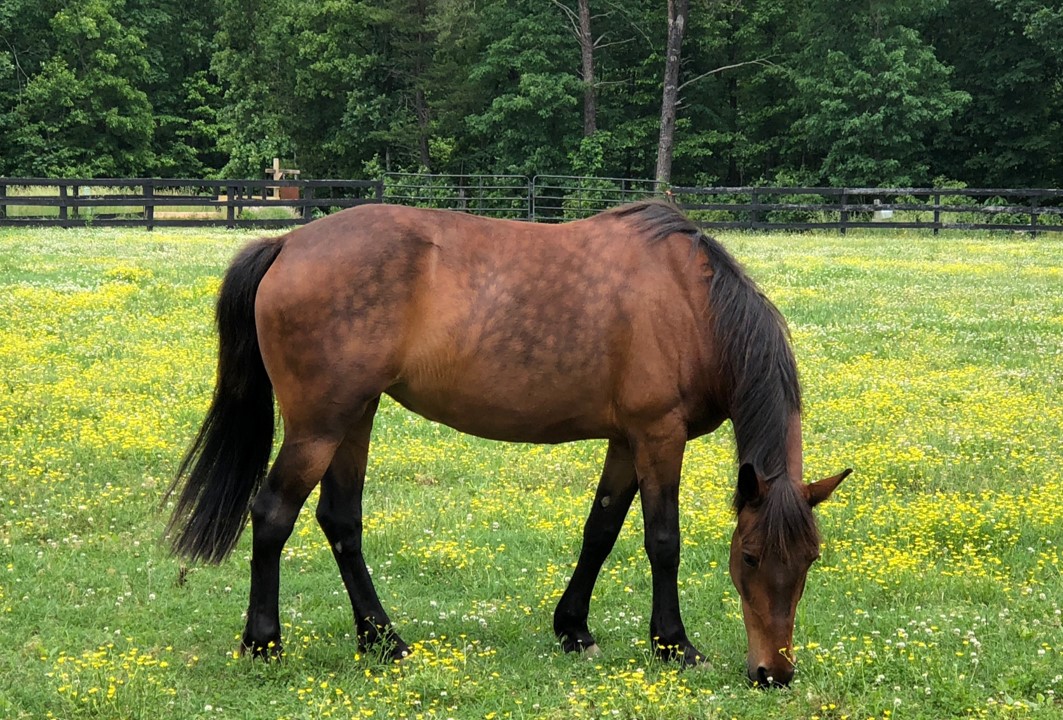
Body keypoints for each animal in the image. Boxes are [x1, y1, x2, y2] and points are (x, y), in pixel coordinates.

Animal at [163, 198, 846, 680]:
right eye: (749, 558)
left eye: (810, 560)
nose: (774, 673)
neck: (692, 301)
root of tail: (287, 243)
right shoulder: (659, 435)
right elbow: (662, 542)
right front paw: (675, 645)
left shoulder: (627, 440)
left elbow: (600, 529)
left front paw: (574, 629)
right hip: (319, 425)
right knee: (273, 514)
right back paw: (264, 643)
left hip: (353, 418)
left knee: (340, 521)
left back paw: (383, 641)